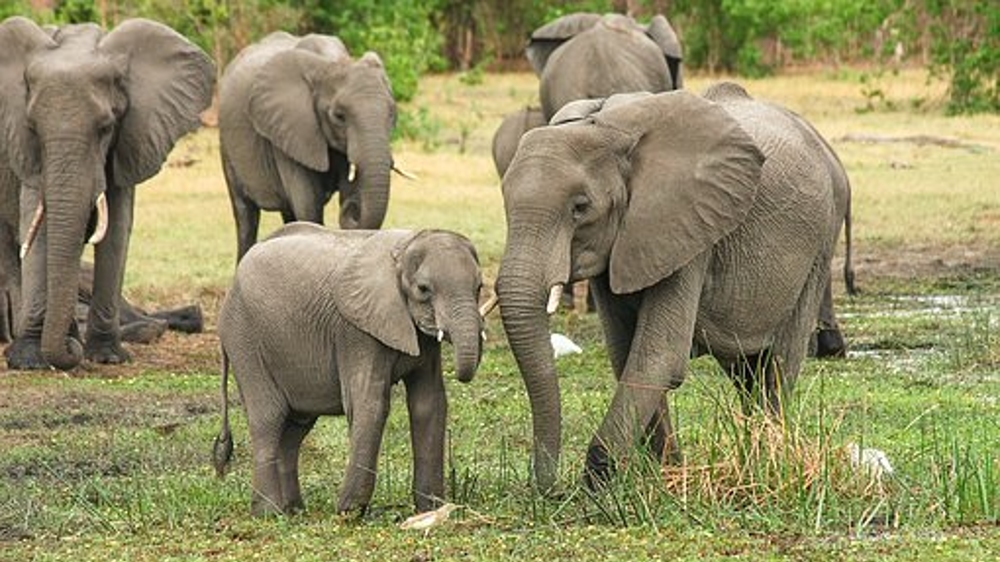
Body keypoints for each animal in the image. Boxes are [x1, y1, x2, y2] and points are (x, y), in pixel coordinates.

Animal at [0, 17, 214, 371]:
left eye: (105, 128)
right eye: (33, 128)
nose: (70, 351)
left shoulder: (130, 138)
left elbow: (116, 230)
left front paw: (107, 357)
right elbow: (37, 226)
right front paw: (29, 360)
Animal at [212, 223, 486, 516]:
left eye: (479, 287)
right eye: (424, 289)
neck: (404, 246)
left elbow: (429, 404)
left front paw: (431, 510)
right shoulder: (356, 332)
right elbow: (370, 404)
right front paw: (349, 512)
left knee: (295, 428)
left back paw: (294, 511)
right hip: (244, 340)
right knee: (269, 417)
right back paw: (269, 513)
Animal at [219, 31, 400, 263]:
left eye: (393, 114)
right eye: (339, 116)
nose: (352, 208)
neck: (329, 62)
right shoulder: (288, 130)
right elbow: (308, 205)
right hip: (227, 146)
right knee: (245, 216)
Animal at [495, 83, 851, 491]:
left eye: (580, 208)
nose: (550, 489)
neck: (605, 128)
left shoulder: (689, 228)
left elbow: (659, 355)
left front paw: (599, 482)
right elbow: (625, 353)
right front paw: (664, 472)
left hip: (821, 241)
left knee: (778, 364)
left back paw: (767, 460)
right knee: (746, 369)